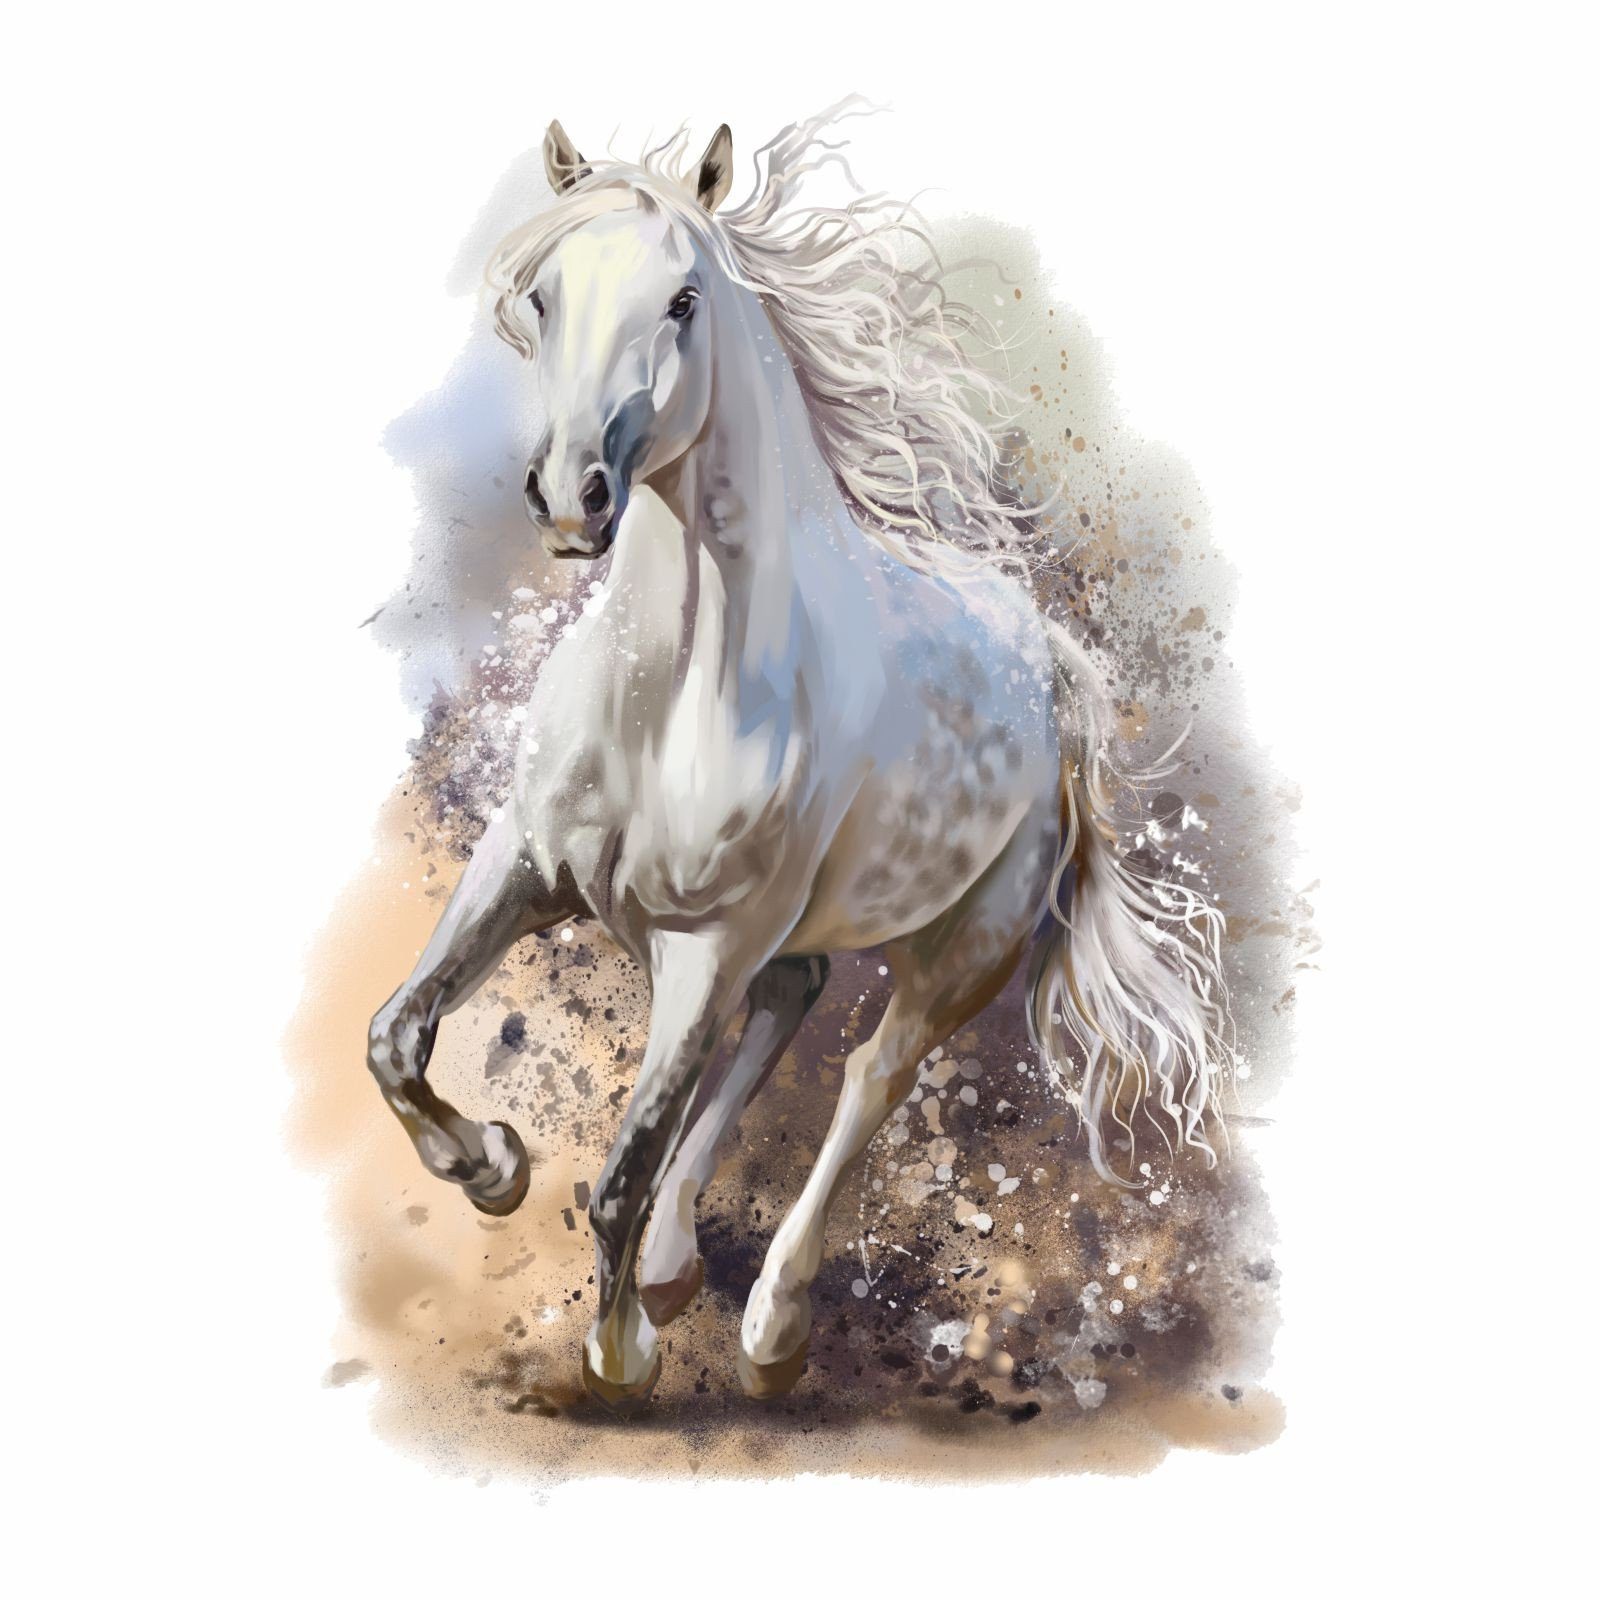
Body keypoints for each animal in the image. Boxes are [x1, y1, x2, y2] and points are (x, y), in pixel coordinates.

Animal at [366, 105, 1232, 1414]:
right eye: (544, 295)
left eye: (681, 301)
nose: (571, 499)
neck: (669, 695)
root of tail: (1052, 664)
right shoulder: (524, 863)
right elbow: (396, 1039)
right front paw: (494, 1167)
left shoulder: (705, 946)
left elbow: (618, 1174)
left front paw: (621, 1357)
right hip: (789, 933)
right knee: (795, 1001)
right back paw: (677, 1262)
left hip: (966, 947)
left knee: (868, 1072)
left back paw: (770, 1325)